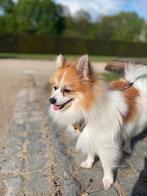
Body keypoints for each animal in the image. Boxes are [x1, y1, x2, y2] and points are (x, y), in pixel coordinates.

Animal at [49, 54, 147, 189]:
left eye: (67, 90)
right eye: (55, 88)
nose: (51, 100)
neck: (87, 108)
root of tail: (135, 86)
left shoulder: (106, 143)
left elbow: (106, 164)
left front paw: (108, 179)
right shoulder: (89, 135)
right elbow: (90, 151)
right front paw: (89, 163)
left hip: (136, 125)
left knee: (129, 136)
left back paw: (127, 147)